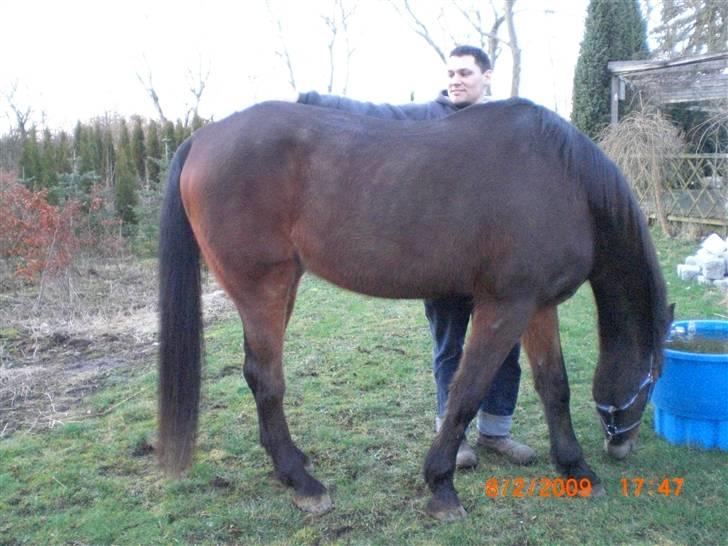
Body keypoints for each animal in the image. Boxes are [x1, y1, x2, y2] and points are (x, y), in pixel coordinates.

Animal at [156, 98, 672, 520]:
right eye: (654, 377)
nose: (621, 446)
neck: (566, 181)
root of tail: (201, 139)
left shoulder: (538, 307)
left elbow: (554, 387)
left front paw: (576, 469)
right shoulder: (505, 306)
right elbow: (467, 391)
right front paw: (442, 486)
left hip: (280, 290)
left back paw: (294, 463)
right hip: (262, 288)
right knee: (266, 379)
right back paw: (304, 483)